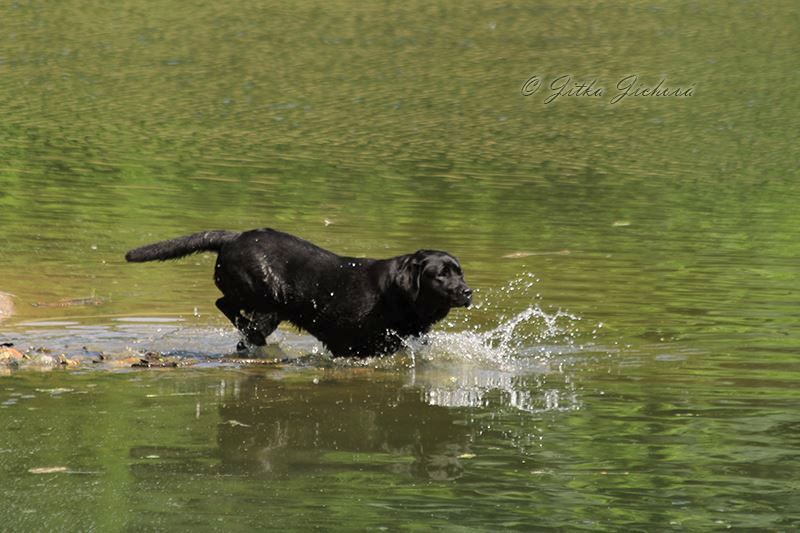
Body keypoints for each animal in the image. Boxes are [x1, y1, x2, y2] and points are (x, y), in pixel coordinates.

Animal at [125, 229, 472, 358]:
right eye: (440, 275)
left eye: (460, 271)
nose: (468, 291)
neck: (395, 296)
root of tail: (233, 237)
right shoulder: (355, 344)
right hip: (267, 300)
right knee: (228, 306)